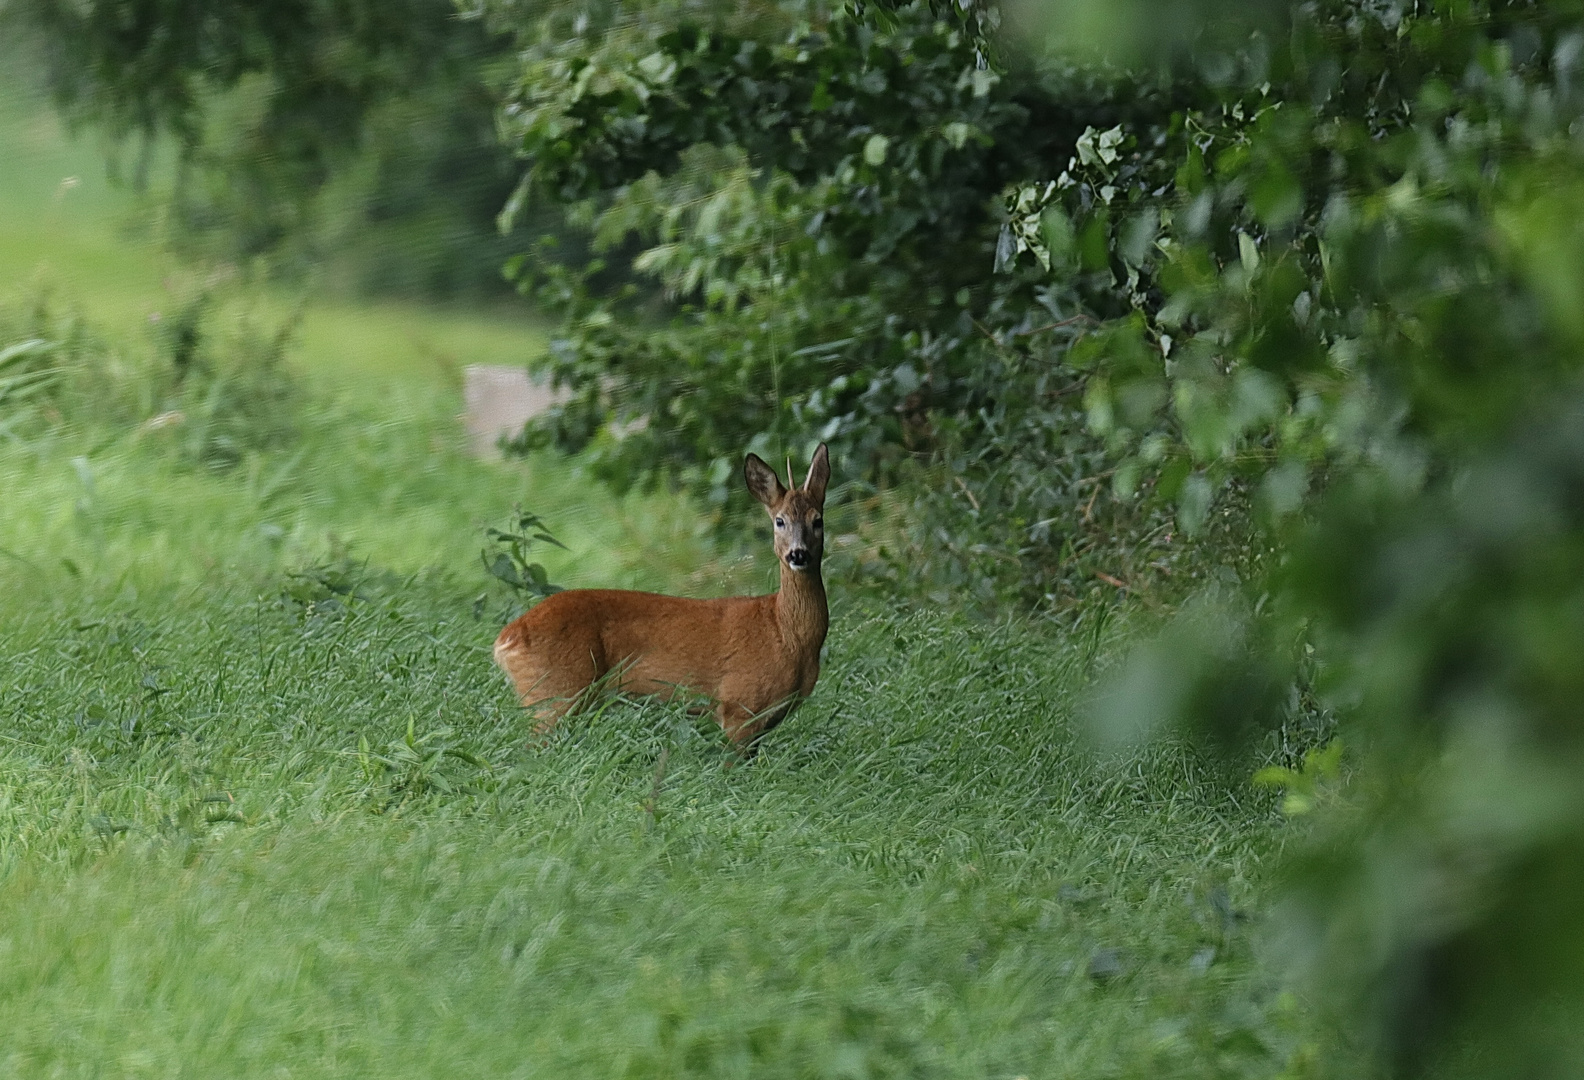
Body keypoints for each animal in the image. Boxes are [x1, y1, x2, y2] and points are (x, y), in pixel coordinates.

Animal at [494, 440, 836, 744]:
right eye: (779, 521)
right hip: (556, 691)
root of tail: (506, 639)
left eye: (818, 521)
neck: (786, 635)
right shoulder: (738, 704)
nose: (798, 554)